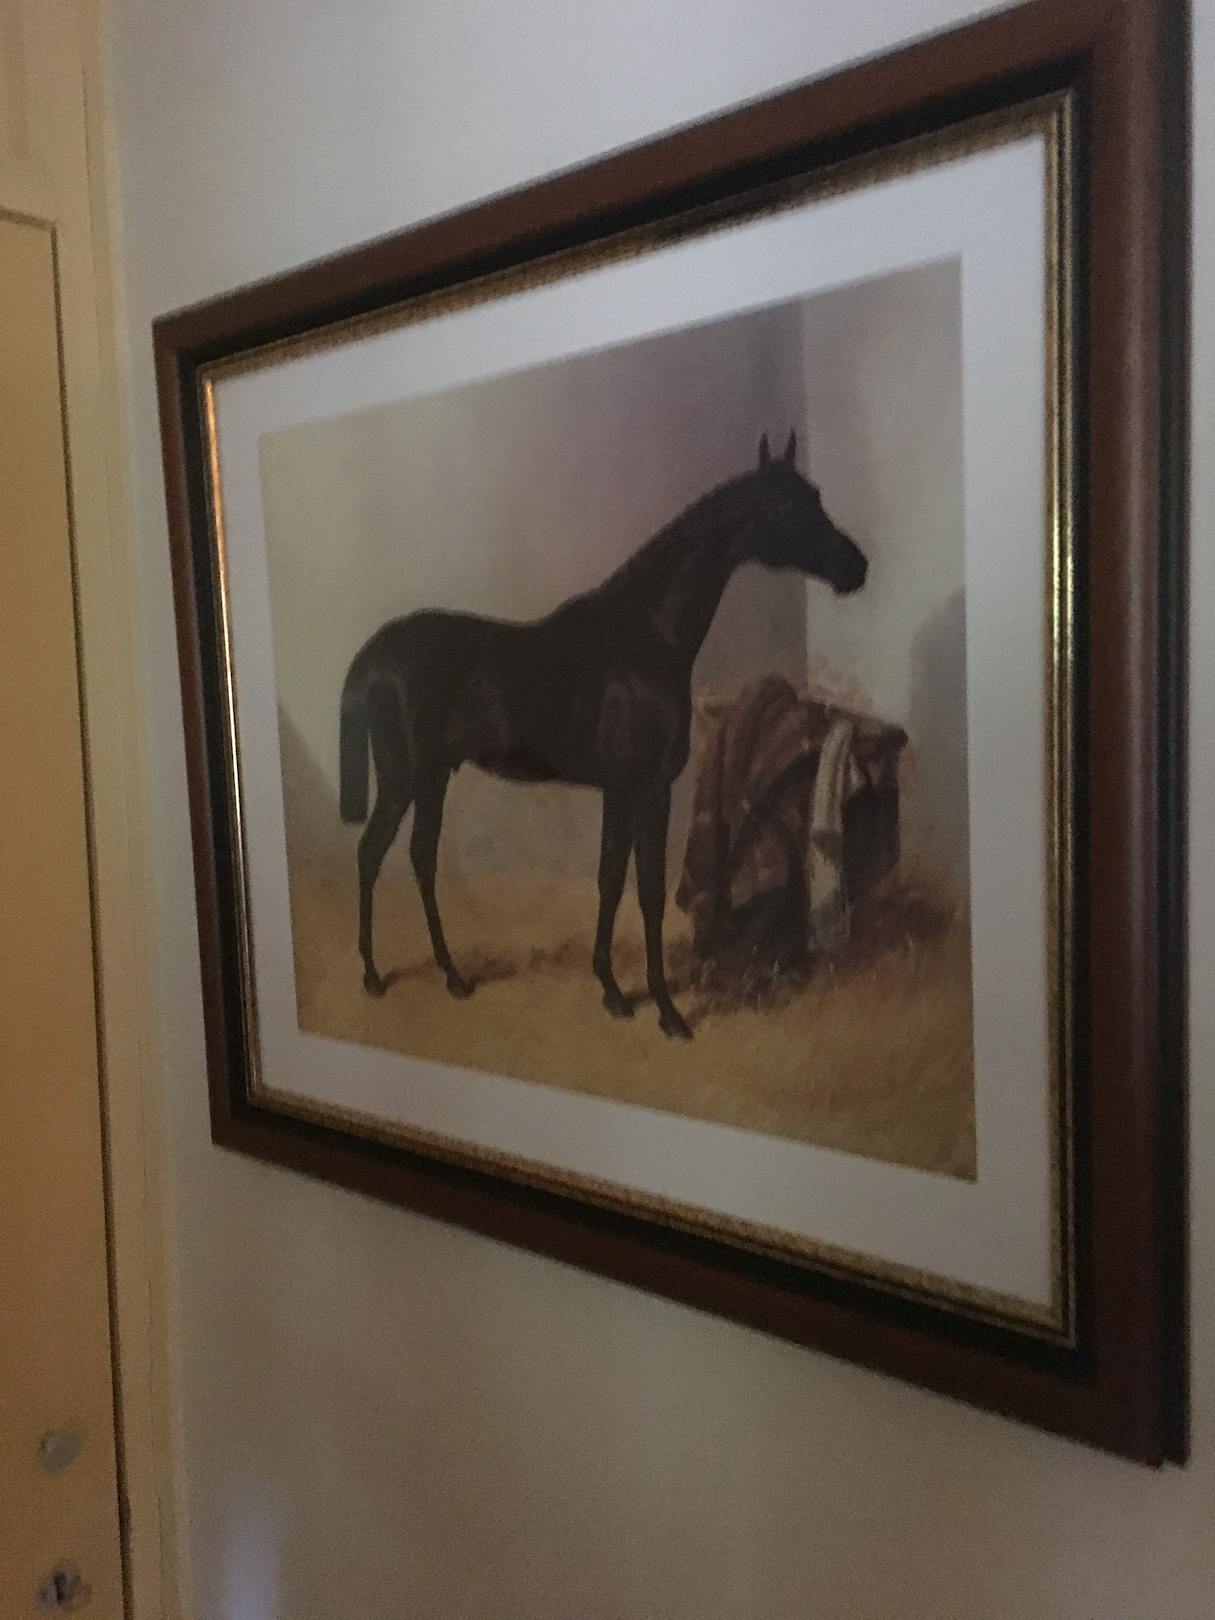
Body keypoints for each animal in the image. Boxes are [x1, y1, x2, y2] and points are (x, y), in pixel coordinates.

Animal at [338, 430, 868, 1040]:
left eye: (815, 495)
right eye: (785, 505)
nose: (856, 567)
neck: (647, 635)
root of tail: (374, 655)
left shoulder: (620, 791)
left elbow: (611, 880)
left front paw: (613, 990)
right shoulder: (647, 789)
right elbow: (647, 891)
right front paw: (666, 1010)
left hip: (432, 779)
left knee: (420, 859)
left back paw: (453, 976)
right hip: (405, 778)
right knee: (371, 854)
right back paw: (373, 976)